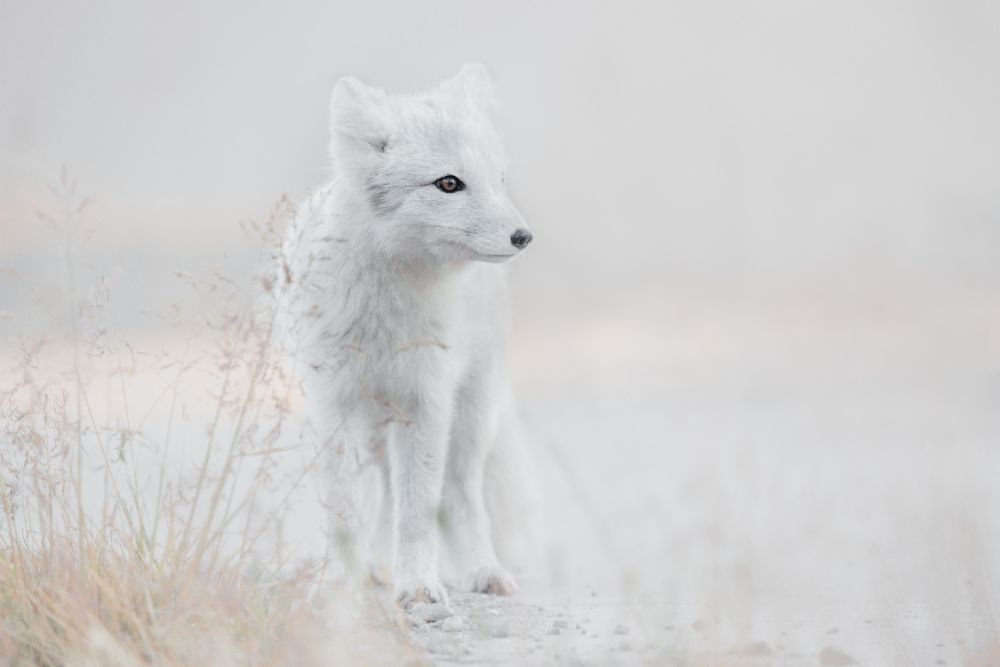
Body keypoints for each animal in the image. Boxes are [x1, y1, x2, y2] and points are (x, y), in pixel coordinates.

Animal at [278, 65, 532, 608]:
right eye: (449, 183)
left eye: (499, 179)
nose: (524, 237)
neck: (384, 319)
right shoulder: (335, 406)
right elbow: (344, 508)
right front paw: (340, 583)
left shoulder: (426, 402)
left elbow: (418, 512)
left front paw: (416, 586)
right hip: (379, 429)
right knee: (387, 496)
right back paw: (376, 568)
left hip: (467, 421)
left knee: (459, 495)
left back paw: (483, 570)